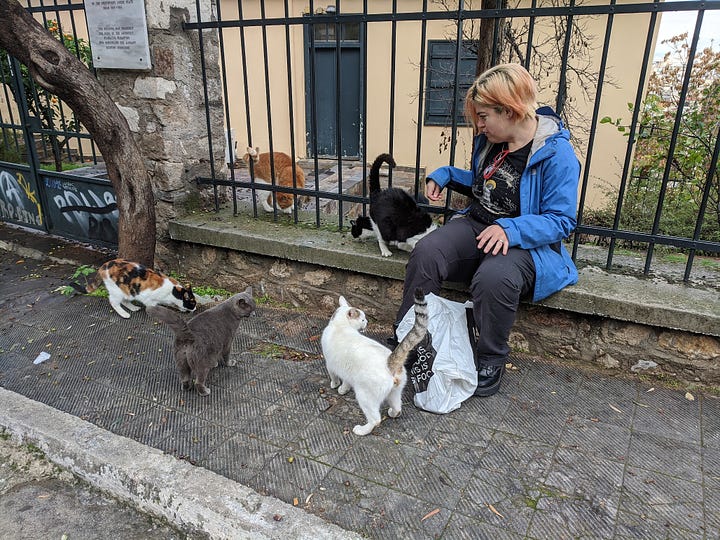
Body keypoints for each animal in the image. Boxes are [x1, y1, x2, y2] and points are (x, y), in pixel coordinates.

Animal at [69, 258, 197, 318]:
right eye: (192, 303)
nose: (195, 309)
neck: (173, 291)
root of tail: (103, 266)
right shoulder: (149, 299)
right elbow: (153, 306)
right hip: (117, 290)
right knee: (113, 302)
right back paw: (124, 314)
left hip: (128, 290)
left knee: (125, 300)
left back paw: (133, 308)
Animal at [320, 286, 428, 434]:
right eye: (363, 319)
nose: (367, 322)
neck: (340, 325)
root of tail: (390, 362)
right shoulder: (346, 372)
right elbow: (346, 382)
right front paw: (343, 389)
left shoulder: (330, 364)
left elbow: (334, 377)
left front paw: (335, 386)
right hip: (395, 393)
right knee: (398, 409)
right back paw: (392, 413)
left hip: (365, 396)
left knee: (375, 419)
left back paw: (361, 430)